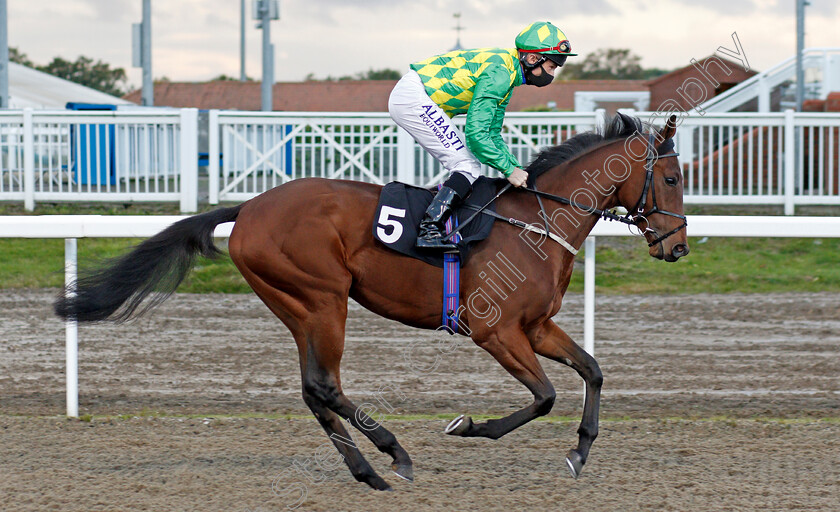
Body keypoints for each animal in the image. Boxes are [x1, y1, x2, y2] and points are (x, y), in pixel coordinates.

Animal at [54, 113, 688, 492]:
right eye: (674, 178)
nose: (677, 246)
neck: (537, 221)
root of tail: (250, 208)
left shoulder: (535, 327)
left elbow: (592, 370)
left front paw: (580, 452)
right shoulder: (496, 331)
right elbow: (544, 395)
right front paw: (467, 426)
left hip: (298, 305)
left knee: (313, 389)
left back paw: (368, 471)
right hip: (321, 298)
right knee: (325, 385)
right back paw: (394, 454)